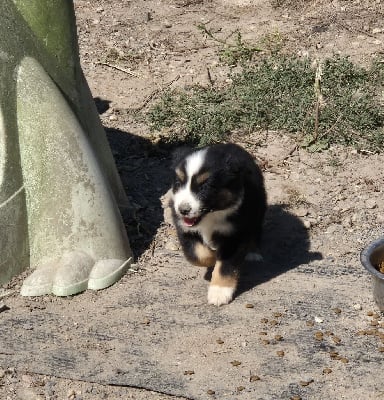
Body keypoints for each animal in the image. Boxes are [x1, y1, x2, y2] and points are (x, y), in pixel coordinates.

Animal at [171, 144, 268, 306]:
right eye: (178, 183)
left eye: (205, 187)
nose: (183, 210)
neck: (211, 215)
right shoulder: (184, 229)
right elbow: (197, 254)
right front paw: (211, 258)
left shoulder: (235, 234)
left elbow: (225, 266)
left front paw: (219, 292)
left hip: (258, 205)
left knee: (256, 228)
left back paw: (254, 252)